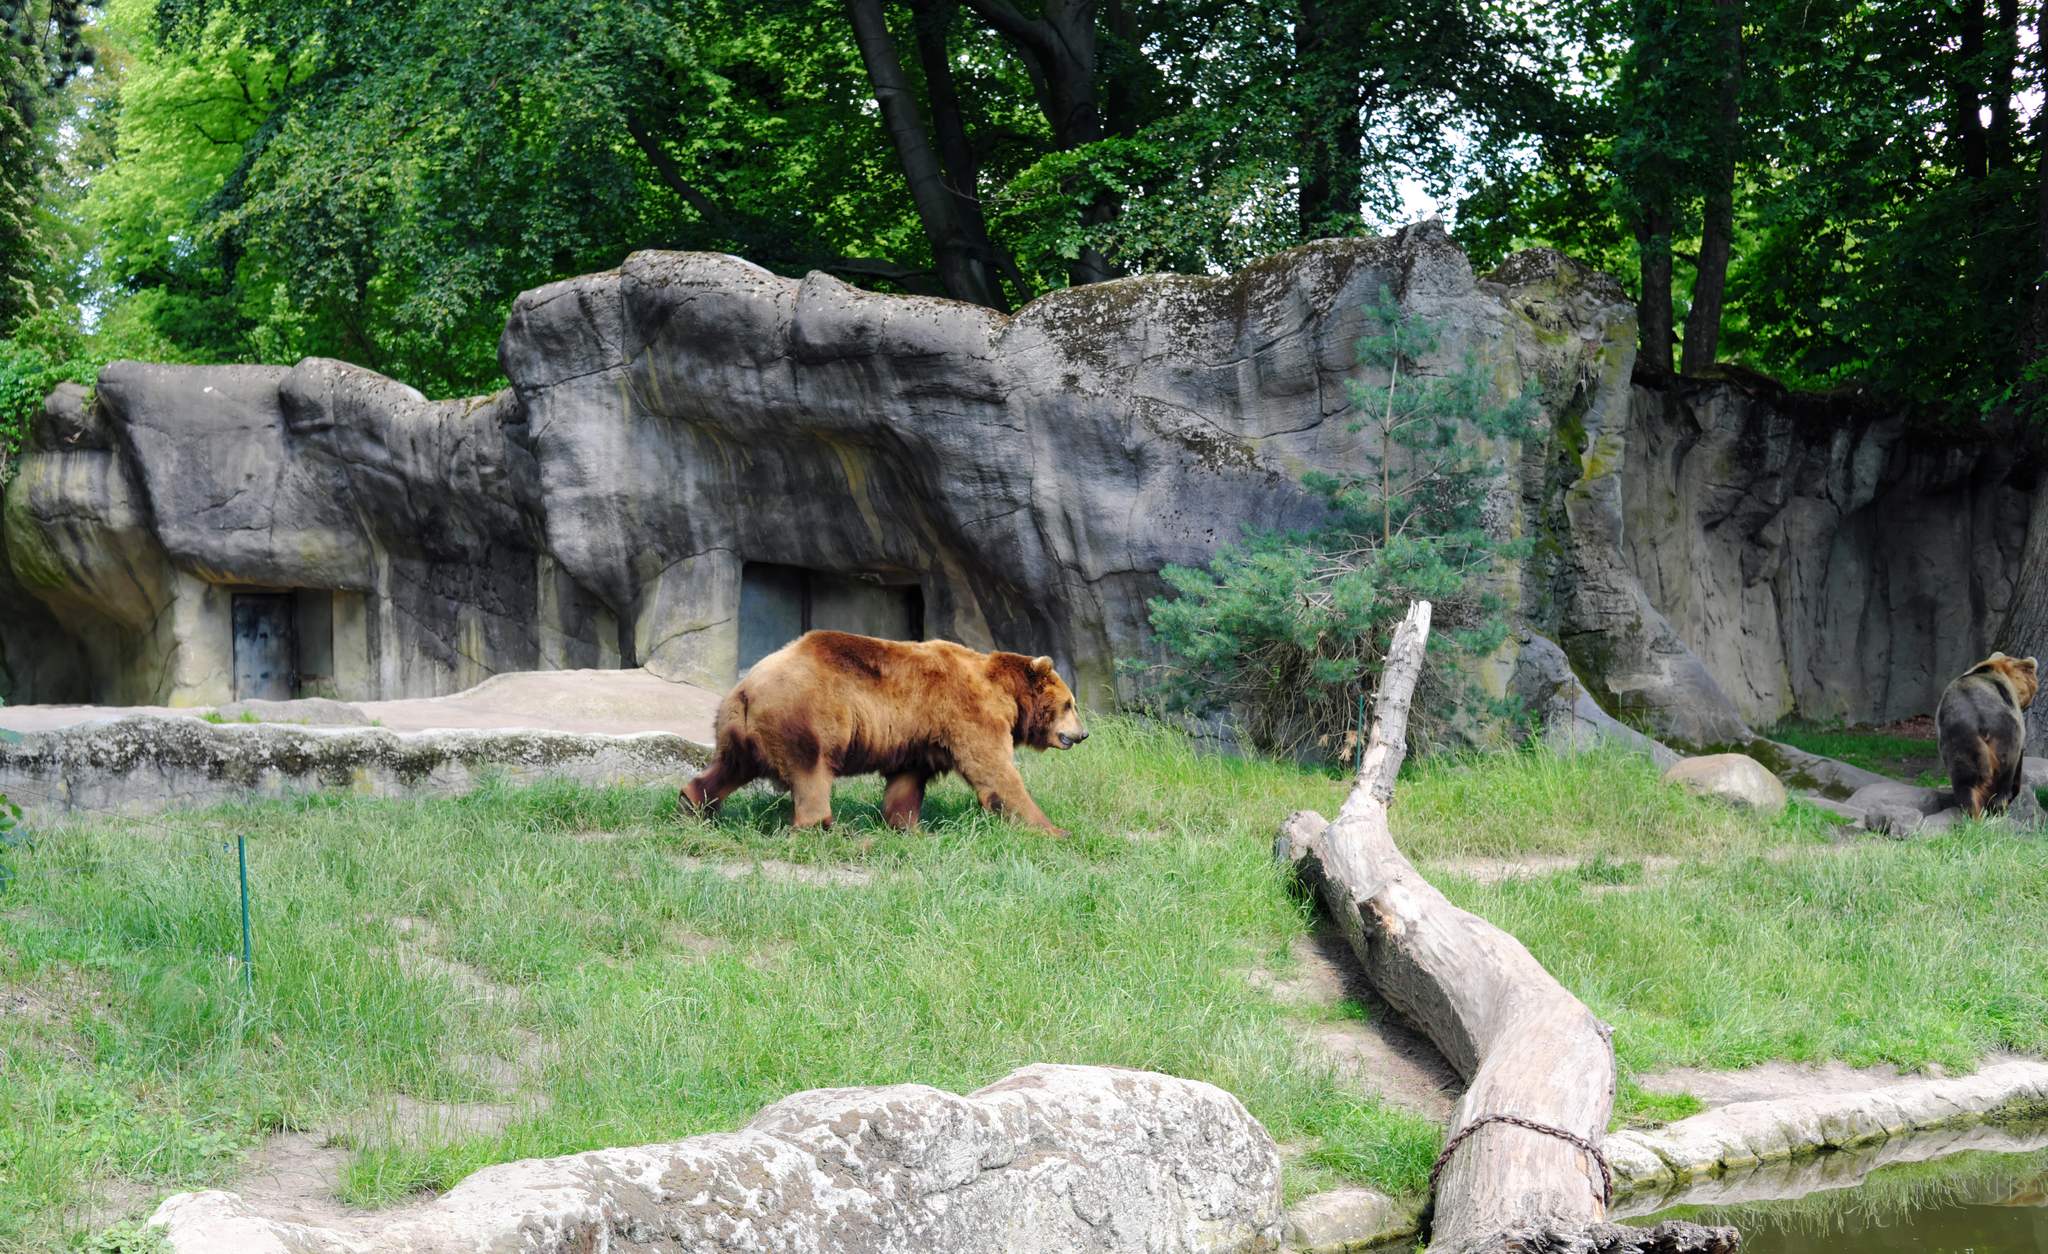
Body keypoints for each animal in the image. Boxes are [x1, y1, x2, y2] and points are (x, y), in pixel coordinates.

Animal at [675, 635, 1097, 831]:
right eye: (1070, 704)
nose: (1084, 734)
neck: (1007, 698)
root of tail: (747, 687)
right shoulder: (967, 712)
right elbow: (994, 771)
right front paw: (1053, 829)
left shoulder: (919, 737)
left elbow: (905, 785)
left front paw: (910, 828)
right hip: (805, 717)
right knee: (812, 774)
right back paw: (825, 827)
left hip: (739, 730)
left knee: (729, 768)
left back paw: (694, 804)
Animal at [1933, 651, 2031, 819]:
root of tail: (1979, 716)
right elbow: (2019, 756)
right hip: (2005, 731)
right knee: (2005, 771)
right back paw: (2000, 806)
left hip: (1960, 738)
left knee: (1965, 781)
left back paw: (1973, 813)